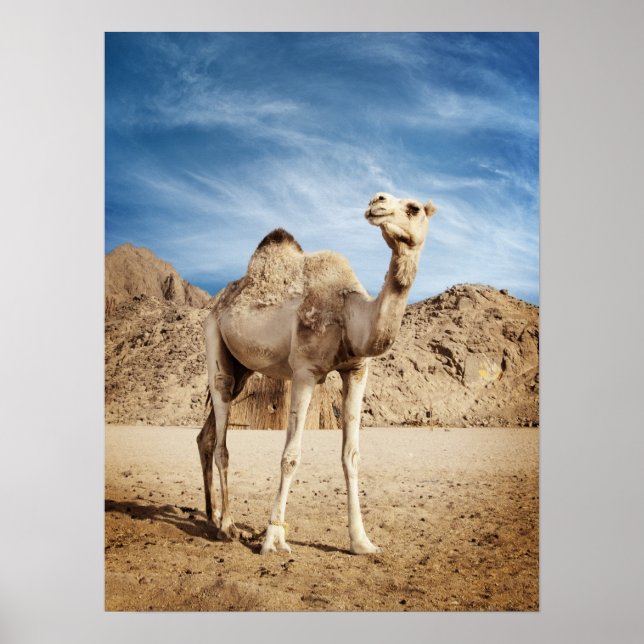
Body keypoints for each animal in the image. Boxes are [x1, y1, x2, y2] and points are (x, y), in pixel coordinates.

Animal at [197, 192, 437, 554]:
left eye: (414, 209)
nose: (377, 201)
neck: (350, 315)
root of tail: (219, 300)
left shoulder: (357, 370)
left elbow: (351, 455)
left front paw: (361, 542)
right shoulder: (305, 371)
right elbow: (290, 456)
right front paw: (274, 539)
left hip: (244, 368)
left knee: (207, 436)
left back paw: (213, 518)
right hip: (214, 335)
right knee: (222, 420)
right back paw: (228, 526)